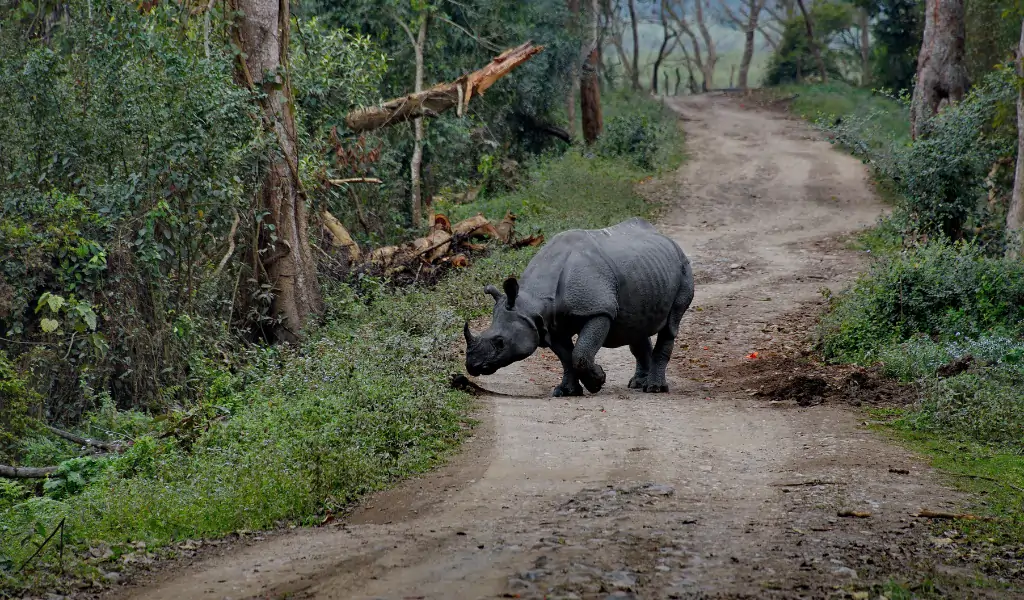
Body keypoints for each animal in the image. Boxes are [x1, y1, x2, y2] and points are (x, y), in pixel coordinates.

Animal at [464, 217, 694, 396]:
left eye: (500, 342)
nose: (472, 366)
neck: (533, 301)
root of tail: (667, 239)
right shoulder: (549, 324)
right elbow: (566, 357)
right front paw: (567, 392)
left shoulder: (598, 311)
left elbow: (580, 354)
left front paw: (597, 381)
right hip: (646, 272)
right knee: (636, 328)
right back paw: (637, 384)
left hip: (684, 267)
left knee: (670, 325)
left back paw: (654, 388)